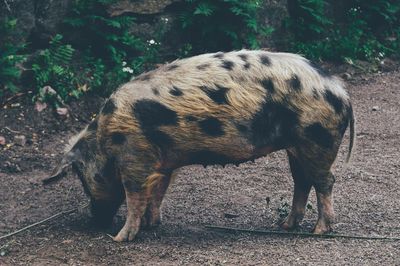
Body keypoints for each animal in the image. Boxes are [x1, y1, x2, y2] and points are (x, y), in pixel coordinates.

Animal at [45, 49, 354, 241]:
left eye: (84, 178)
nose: (94, 221)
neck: (106, 138)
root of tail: (341, 91)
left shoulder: (135, 157)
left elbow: (135, 196)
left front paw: (119, 239)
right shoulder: (163, 162)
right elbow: (157, 192)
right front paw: (152, 225)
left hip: (317, 140)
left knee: (326, 181)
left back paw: (319, 231)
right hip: (297, 147)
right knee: (302, 181)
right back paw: (285, 226)